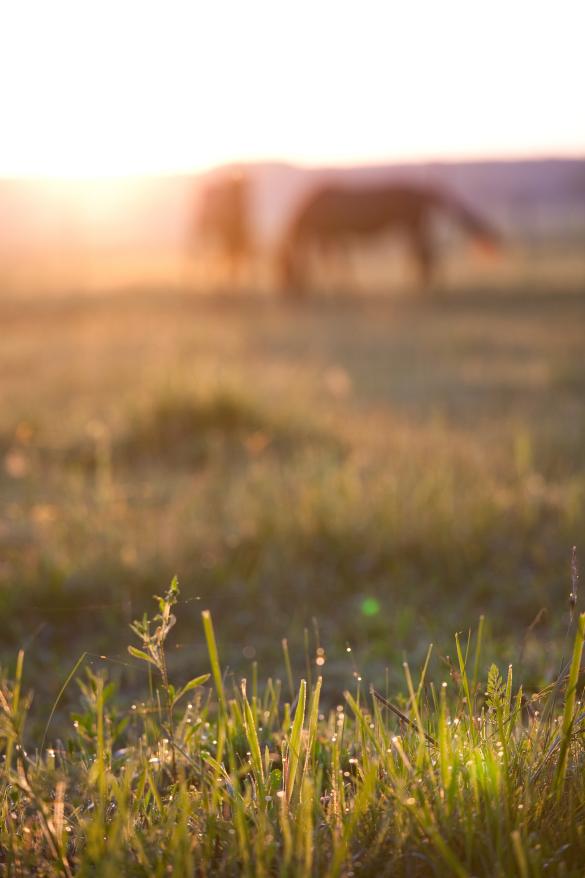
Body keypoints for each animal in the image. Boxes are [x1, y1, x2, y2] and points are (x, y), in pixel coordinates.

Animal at [276, 183, 500, 296]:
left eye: (284, 268)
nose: (288, 293)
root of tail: (422, 191)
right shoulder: (335, 236)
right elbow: (339, 261)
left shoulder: (331, 235)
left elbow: (333, 262)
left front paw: (341, 289)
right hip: (415, 226)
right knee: (425, 253)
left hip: (412, 225)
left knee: (423, 254)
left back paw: (424, 286)